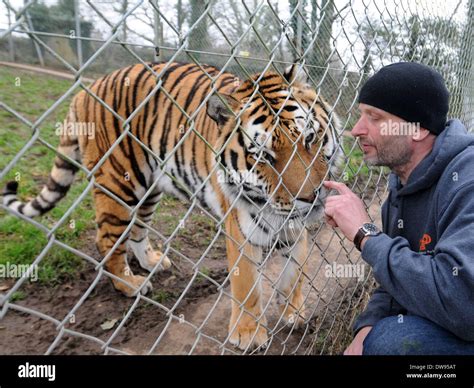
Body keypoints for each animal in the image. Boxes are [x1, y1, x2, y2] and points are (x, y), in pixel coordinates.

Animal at [4, 61, 344, 352]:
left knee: (137, 231)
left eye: (309, 139)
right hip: (118, 185)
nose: (312, 196)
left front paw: (295, 312)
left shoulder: (293, 226)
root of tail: (85, 89)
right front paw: (248, 334)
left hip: (148, 190)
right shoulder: (241, 228)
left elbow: (295, 272)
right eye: (263, 157)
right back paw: (130, 285)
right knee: (108, 240)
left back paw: (153, 262)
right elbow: (247, 283)